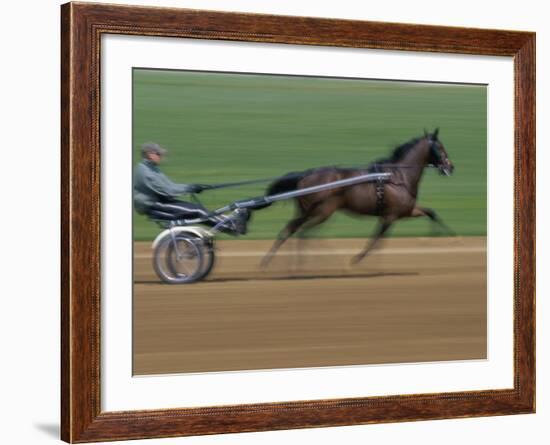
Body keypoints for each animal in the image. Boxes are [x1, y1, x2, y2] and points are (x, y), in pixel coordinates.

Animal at [264, 129, 458, 268]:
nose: (450, 167)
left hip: (307, 211)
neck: (397, 177)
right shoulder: (390, 216)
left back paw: (269, 261)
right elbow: (375, 241)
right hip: (321, 212)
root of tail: (305, 175)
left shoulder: (406, 210)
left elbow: (432, 213)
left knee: (289, 229)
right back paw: (299, 265)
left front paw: (450, 238)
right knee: (303, 233)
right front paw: (356, 259)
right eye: (440, 147)